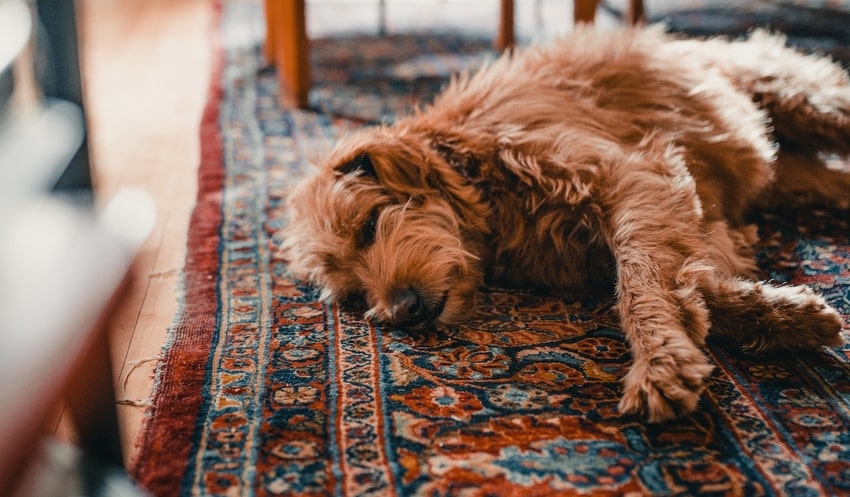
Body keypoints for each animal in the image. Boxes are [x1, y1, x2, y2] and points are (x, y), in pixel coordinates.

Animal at [284, 27, 848, 420]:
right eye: (354, 294)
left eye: (370, 225)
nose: (403, 312)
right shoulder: (684, 226)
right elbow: (696, 283)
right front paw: (788, 316)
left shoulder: (636, 177)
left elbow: (642, 283)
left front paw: (659, 361)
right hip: (794, 176)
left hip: (802, 99)